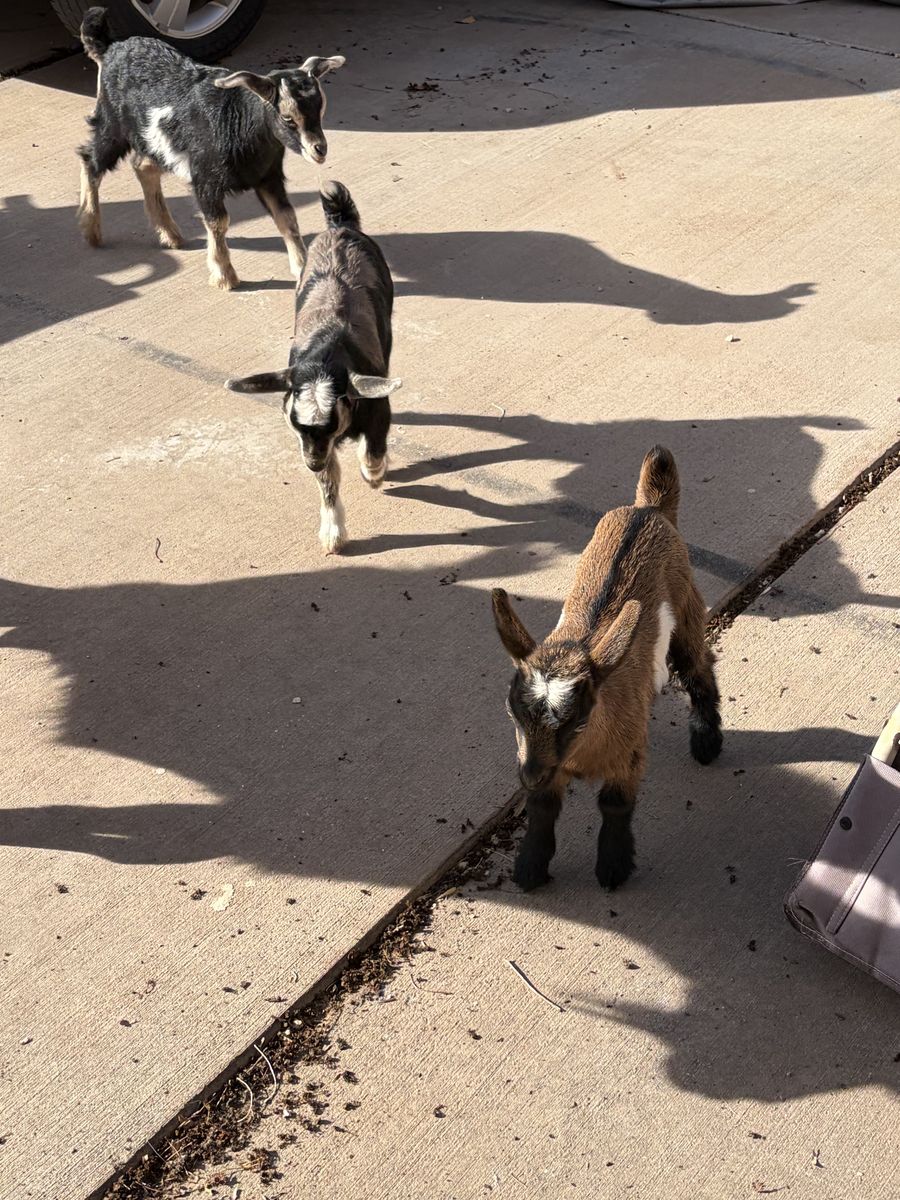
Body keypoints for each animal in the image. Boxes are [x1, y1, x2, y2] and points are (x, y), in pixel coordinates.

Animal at [77, 6, 344, 289]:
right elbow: (218, 222)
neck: (236, 119)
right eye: (288, 118)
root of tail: (109, 48)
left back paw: (170, 234)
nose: (319, 149)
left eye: (321, 109)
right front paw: (224, 276)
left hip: (152, 139)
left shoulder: (268, 176)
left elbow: (287, 216)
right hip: (112, 125)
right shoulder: (205, 178)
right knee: (91, 160)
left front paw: (303, 268)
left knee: (143, 165)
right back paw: (91, 229)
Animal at [225, 181, 401, 554]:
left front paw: (373, 474)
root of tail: (340, 226)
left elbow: (374, 449)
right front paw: (333, 533)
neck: (325, 356)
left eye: (332, 421)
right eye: (295, 423)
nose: (311, 462)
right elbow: (328, 482)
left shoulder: (377, 408)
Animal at [492, 446, 723, 892]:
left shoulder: (627, 755)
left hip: (687, 603)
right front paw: (529, 869)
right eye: (513, 715)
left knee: (698, 668)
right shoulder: (546, 765)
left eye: (575, 720)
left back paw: (707, 742)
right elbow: (542, 807)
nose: (528, 775)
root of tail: (648, 509)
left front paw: (613, 868)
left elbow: (615, 805)